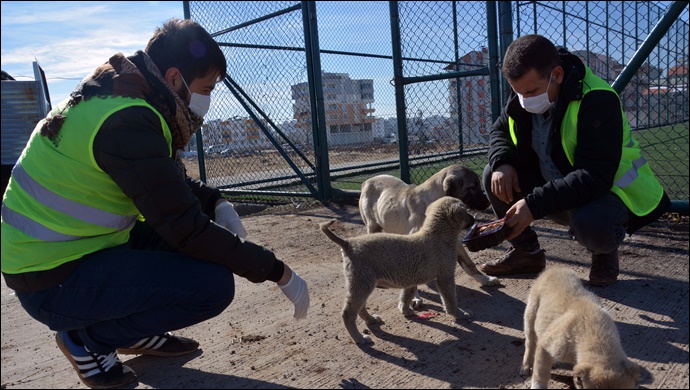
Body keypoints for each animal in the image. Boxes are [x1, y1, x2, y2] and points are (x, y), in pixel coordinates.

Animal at [358, 163, 498, 310]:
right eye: (473, 186)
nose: (488, 202)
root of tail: (367, 181)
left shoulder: (455, 240)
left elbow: (469, 263)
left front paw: (485, 279)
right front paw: (414, 297)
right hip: (373, 227)